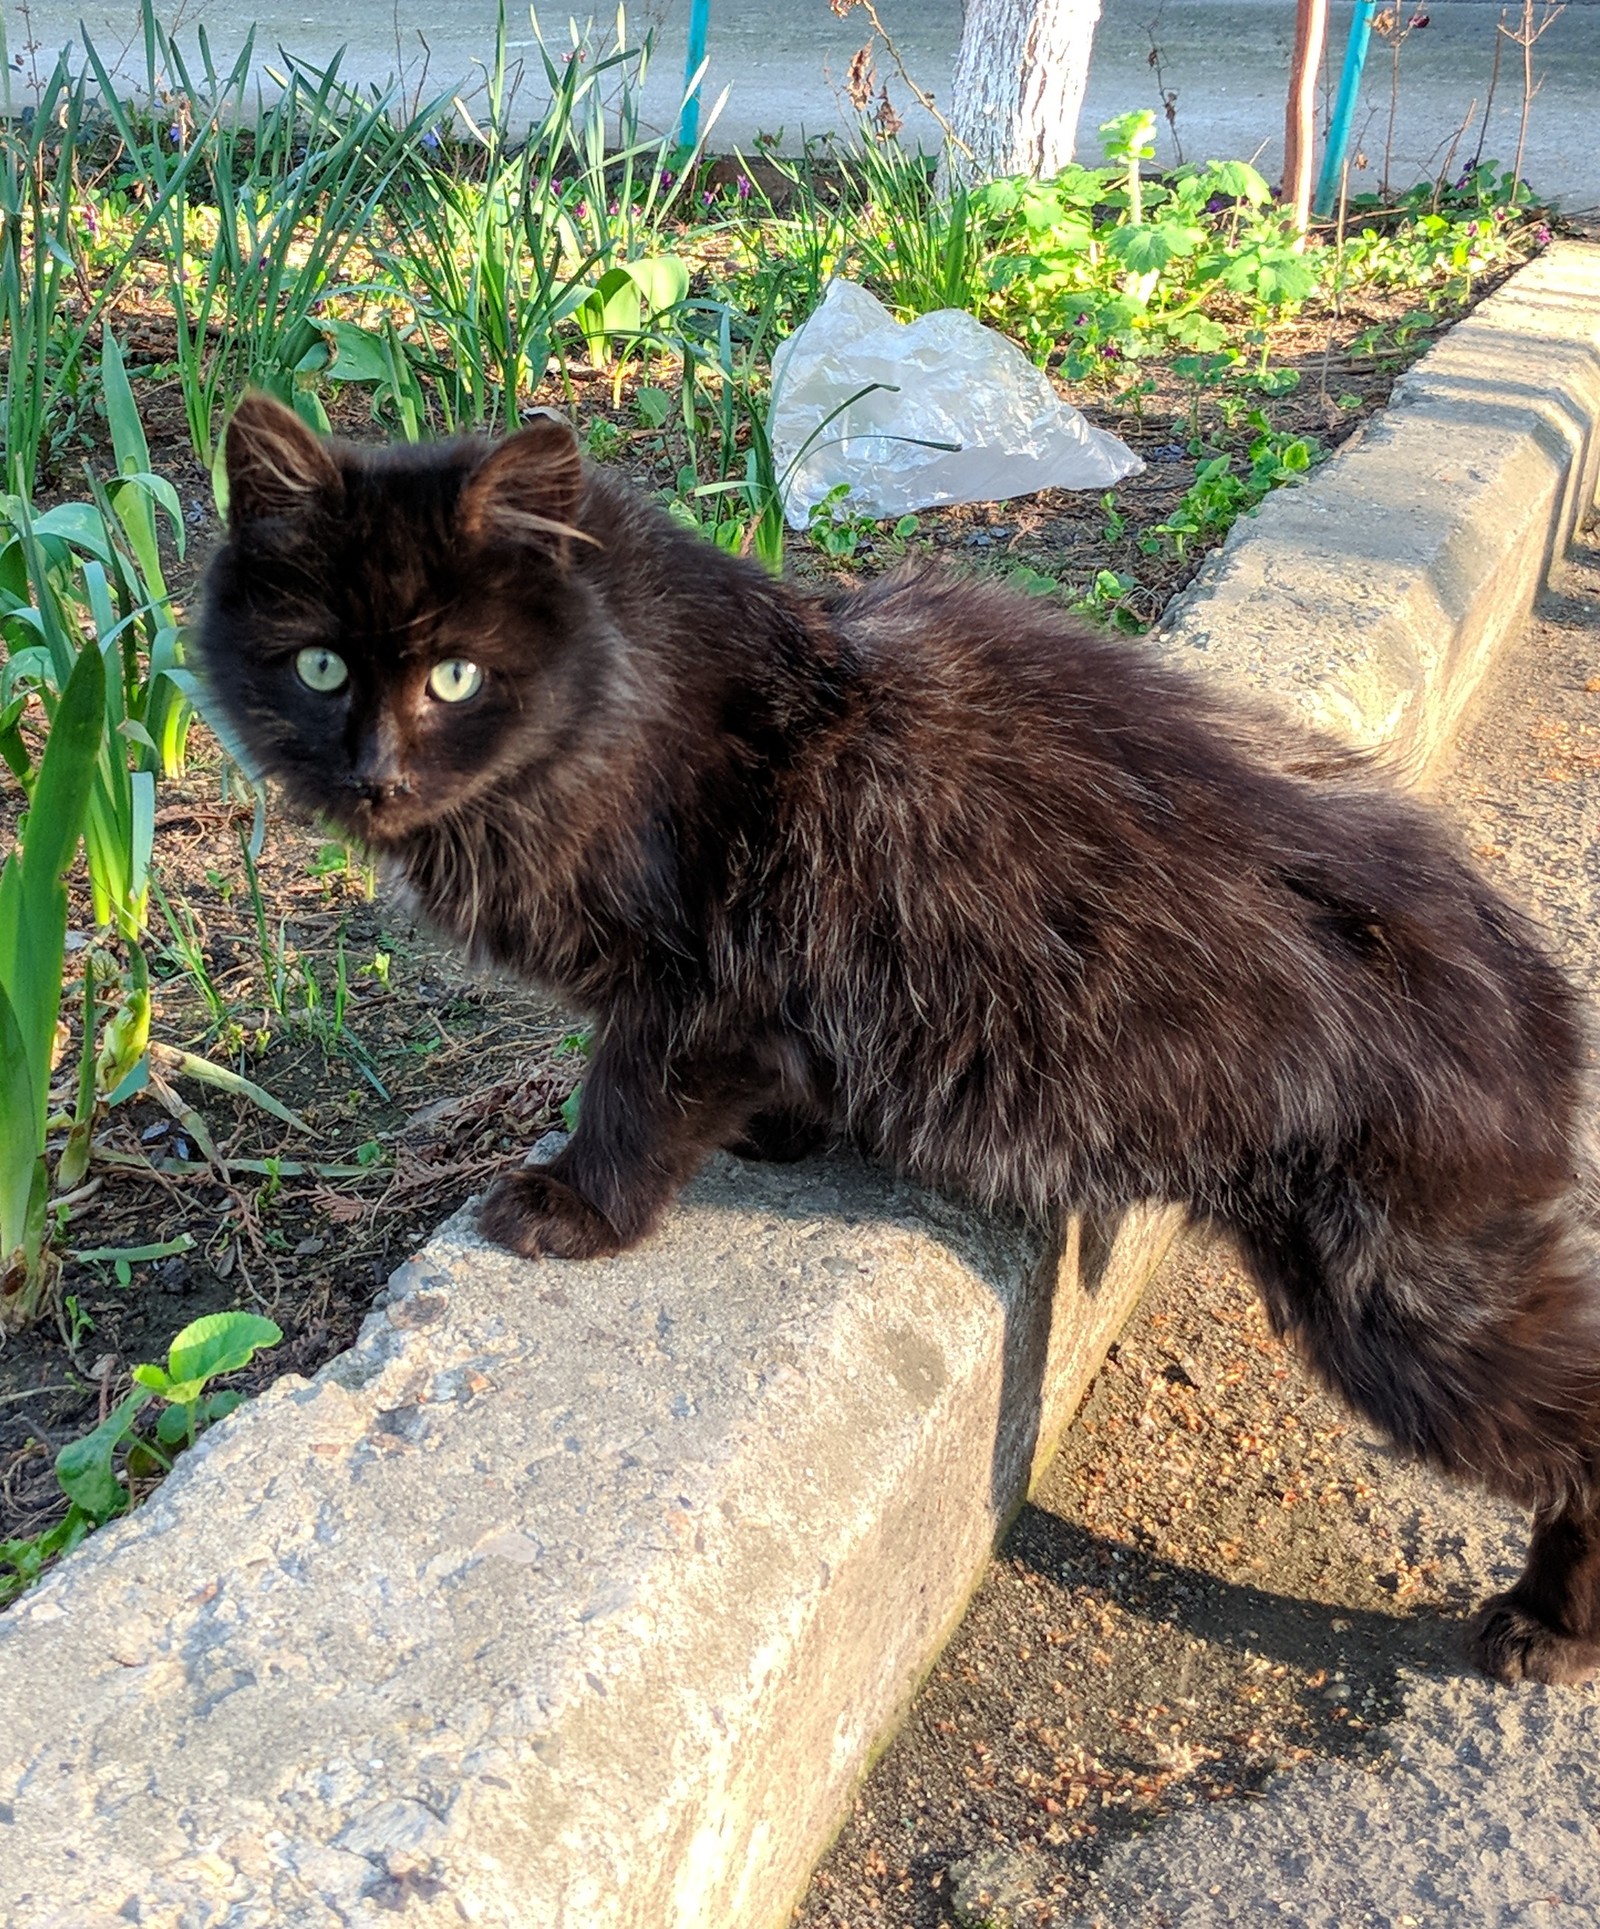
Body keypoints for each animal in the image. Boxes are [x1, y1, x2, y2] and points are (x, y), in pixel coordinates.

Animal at [196, 395, 1598, 1689]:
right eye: (318, 669)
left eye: (457, 678)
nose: (373, 774)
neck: (630, 706)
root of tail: (1531, 990)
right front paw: (779, 1137)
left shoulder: (693, 984)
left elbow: (629, 1102)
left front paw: (575, 1208)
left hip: (1393, 1294)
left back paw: (1551, 1627)